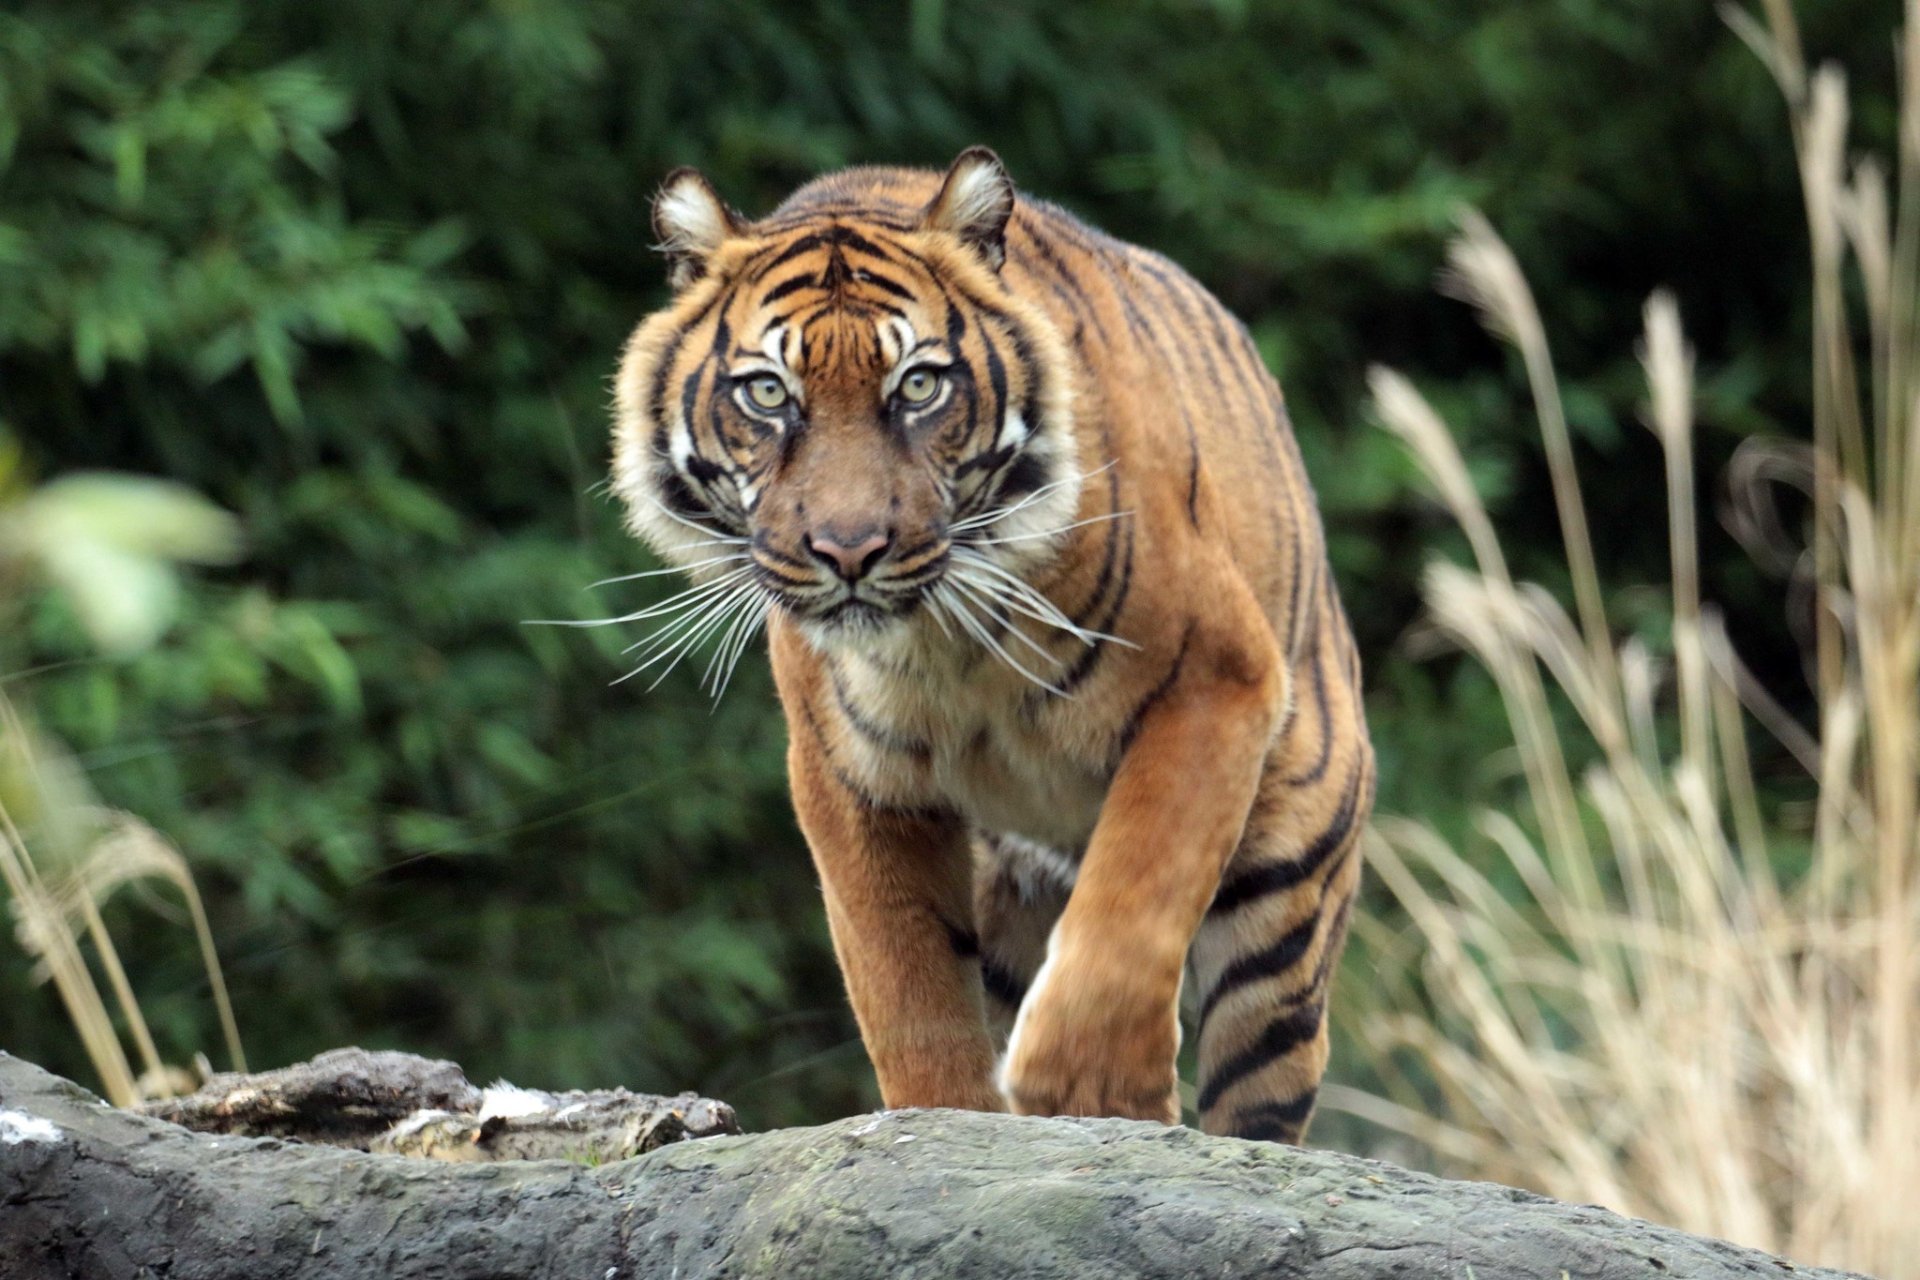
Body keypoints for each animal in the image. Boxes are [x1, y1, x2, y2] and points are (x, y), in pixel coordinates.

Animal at [608, 147, 1372, 1143]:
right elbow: (905, 986)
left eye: (918, 386)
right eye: (768, 394)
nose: (849, 551)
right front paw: (951, 1121)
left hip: (1284, 901)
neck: (940, 647)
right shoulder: (850, 777)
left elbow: (1136, 895)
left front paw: (1091, 1093)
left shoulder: (1217, 679)